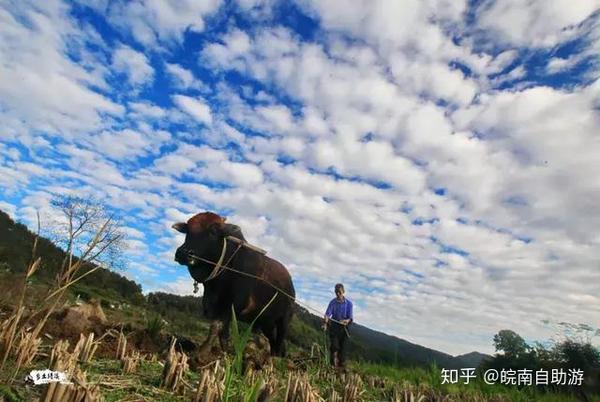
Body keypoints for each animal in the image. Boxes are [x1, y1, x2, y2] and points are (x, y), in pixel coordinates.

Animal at [173, 212, 296, 356]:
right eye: (187, 230)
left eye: (213, 231)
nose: (183, 253)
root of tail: (291, 286)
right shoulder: (214, 305)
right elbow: (223, 335)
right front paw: (224, 354)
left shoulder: (233, 305)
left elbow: (216, 326)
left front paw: (202, 353)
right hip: (267, 323)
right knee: (274, 341)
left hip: (284, 320)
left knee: (280, 340)